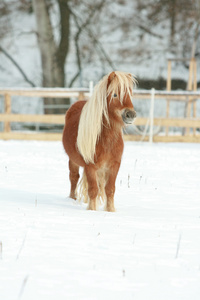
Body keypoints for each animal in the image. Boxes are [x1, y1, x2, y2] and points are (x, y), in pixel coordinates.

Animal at [62, 70, 138, 212]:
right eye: (115, 94)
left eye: (130, 94)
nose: (130, 114)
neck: (106, 140)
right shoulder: (90, 166)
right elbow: (93, 189)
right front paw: (92, 210)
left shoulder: (114, 165)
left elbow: (110, 189)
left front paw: (110, 210)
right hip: (73, 160)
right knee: (74, 178)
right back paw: (72, 199)